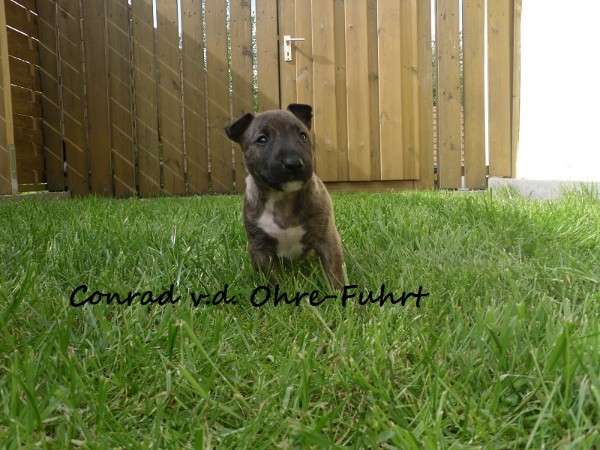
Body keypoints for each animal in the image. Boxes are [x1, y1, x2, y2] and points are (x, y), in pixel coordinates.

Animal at [225, 104, 345, 289]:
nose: (294, 163)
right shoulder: (260, 249)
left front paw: (338, 294)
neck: (283, 199)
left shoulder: (328, 240)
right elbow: (272, 279)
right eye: (262, 139)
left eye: (302, 136)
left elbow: (334, 273)